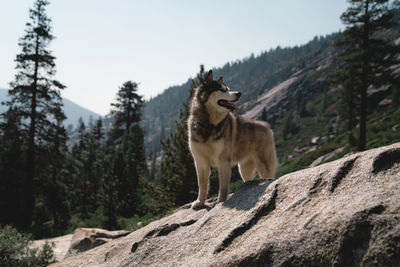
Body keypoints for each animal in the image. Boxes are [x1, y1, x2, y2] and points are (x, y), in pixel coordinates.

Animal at [188, 69, 276, 209]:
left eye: (228, 88)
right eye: (222, 89)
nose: (238, 93)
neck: (209, 126)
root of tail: (266, 125)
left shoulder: (223, 161)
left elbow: (223, 186)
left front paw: (220, 201)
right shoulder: (200, 161)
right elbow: (202, 185)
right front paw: (200, 202)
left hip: (264, 165)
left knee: (269, 176)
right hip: (244, 169)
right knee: (248, 179)